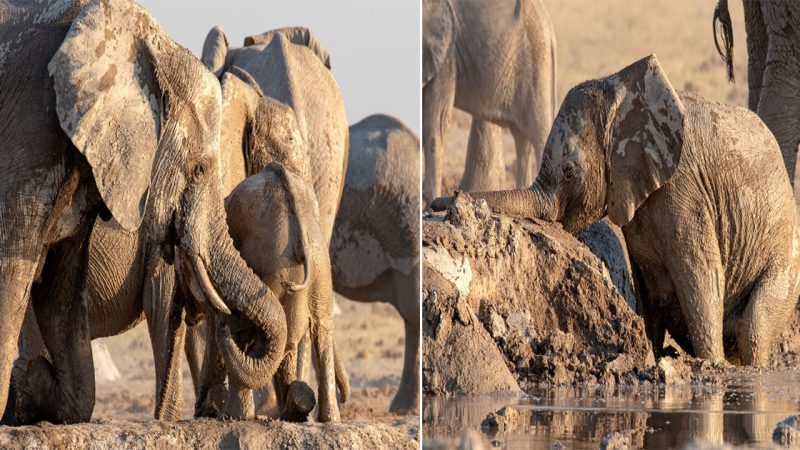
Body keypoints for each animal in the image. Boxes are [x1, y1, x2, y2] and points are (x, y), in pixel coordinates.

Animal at [422, 0, 560, 202]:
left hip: (536, 62)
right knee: (521, 138)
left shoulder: (447, 58)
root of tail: (550, 30)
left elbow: (435, 125)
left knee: (539, 132)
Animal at [434, 54, 800, 368]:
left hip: (787, 266)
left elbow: (700, 274)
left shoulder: (686, 187)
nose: (442, 200)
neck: (620, 93)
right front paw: (654, 357)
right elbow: (647, 290)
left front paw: (712, 365)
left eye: (569, 170)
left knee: (754, 328)